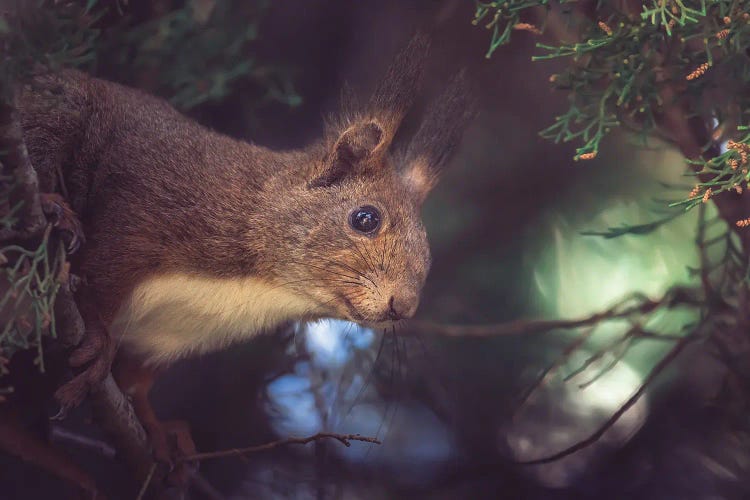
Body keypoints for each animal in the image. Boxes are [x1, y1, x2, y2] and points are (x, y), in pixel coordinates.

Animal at [17, 35, 476, 468]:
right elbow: (102, 276)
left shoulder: (168, 336)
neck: (264, 288)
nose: (404, 307)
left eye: (429, 254)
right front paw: (96, 334)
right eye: (365, 219)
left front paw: (158, 429)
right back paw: (53, 208)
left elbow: (136, 382)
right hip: (55, 109)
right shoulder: (141, 215)